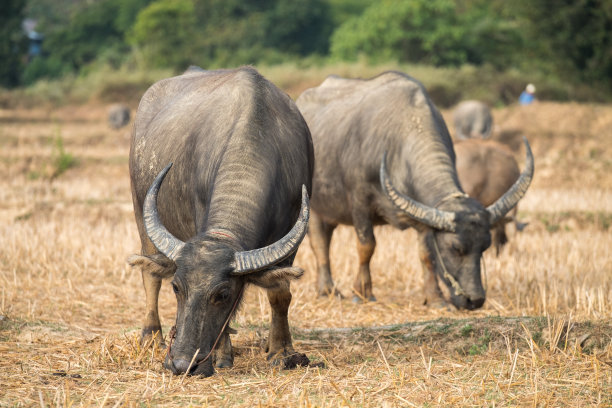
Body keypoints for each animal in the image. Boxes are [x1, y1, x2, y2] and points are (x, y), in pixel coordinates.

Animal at [126, 67, 314, 376]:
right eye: (176, 287)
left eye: (223, 294)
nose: (182, 364)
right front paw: (222, 356)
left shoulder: (291, 237)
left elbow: (280, 293)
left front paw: (281, 351)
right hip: (139, 208)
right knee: (149, 274)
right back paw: (151, 336)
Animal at [296, 72, 532, 310]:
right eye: (455, 247)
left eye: (485, 246)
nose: (474, 300)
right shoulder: (359, 201)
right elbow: (366, 246)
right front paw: (362, 292)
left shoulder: (425, 216)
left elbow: (426, 255)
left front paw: (435, 298)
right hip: (315, 209)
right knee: (319, 244)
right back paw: (327, 290)